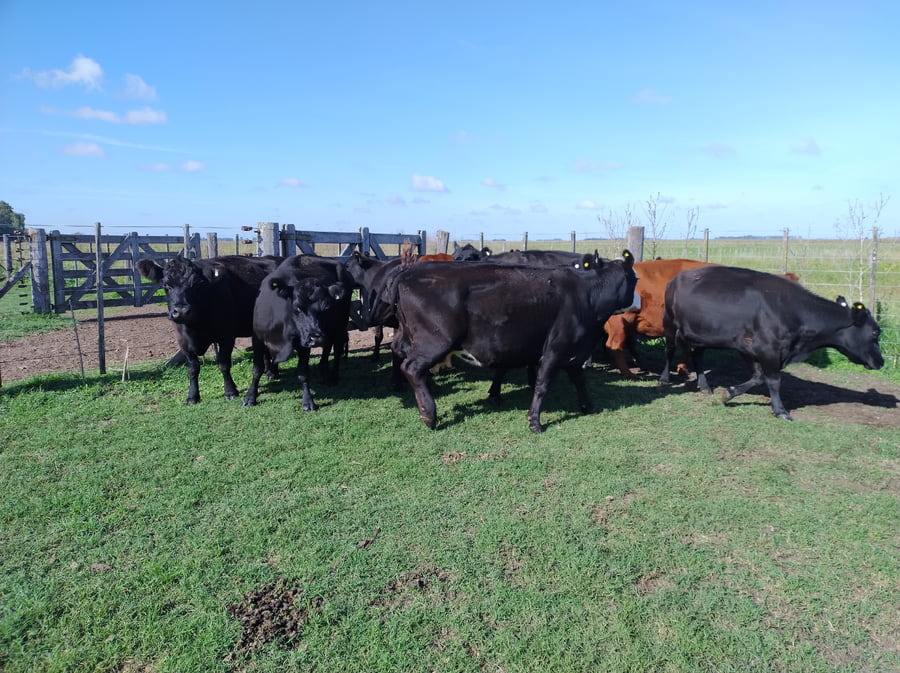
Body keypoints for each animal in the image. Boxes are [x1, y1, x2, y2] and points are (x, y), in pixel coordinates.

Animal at [137, 254, 281, 404]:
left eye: (197, 285)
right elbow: (193, 368)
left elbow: (223, 364)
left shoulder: (227, 336)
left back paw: (272, 372)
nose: (181, 312)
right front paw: (192, 396)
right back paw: (270, 372)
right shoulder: (182, 341)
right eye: (166, 285)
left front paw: (230, 391)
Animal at [242, 255, 353, 410]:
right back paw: (323, 370)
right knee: (327, 347)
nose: (316, 339)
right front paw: (250, 396)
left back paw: (332, 377)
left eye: (326, 308)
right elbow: (257, 369)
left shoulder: (304, 344)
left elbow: (303, 373)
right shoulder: (257, 339)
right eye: (298, 307)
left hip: (340, 325)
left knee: (336, 348)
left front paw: (308, 401)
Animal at [389, 250, 639, 433]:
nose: (640, 300)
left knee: (400, 356)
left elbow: (580, 381)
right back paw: (429, 414)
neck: (585, 295)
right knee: (411, 368)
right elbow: (542, 384)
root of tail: (409, 273)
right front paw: (534, 421)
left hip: (408, 338)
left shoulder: (573, 352)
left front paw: (588, 406)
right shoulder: (554, 349)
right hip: (435, 342)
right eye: (635, 279)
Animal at [658, 265, 883, 420]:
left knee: (697, 354)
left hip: (701, 333)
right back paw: (664, 379)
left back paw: (704, 385)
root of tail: (678, 276)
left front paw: (729, 393)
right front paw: (780, 410)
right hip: (669, 323)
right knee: (669, 350)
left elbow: (759, 378)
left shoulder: (750, 349)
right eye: (875, 332)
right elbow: (774, 381)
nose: (881, 362)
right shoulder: (767, 349)